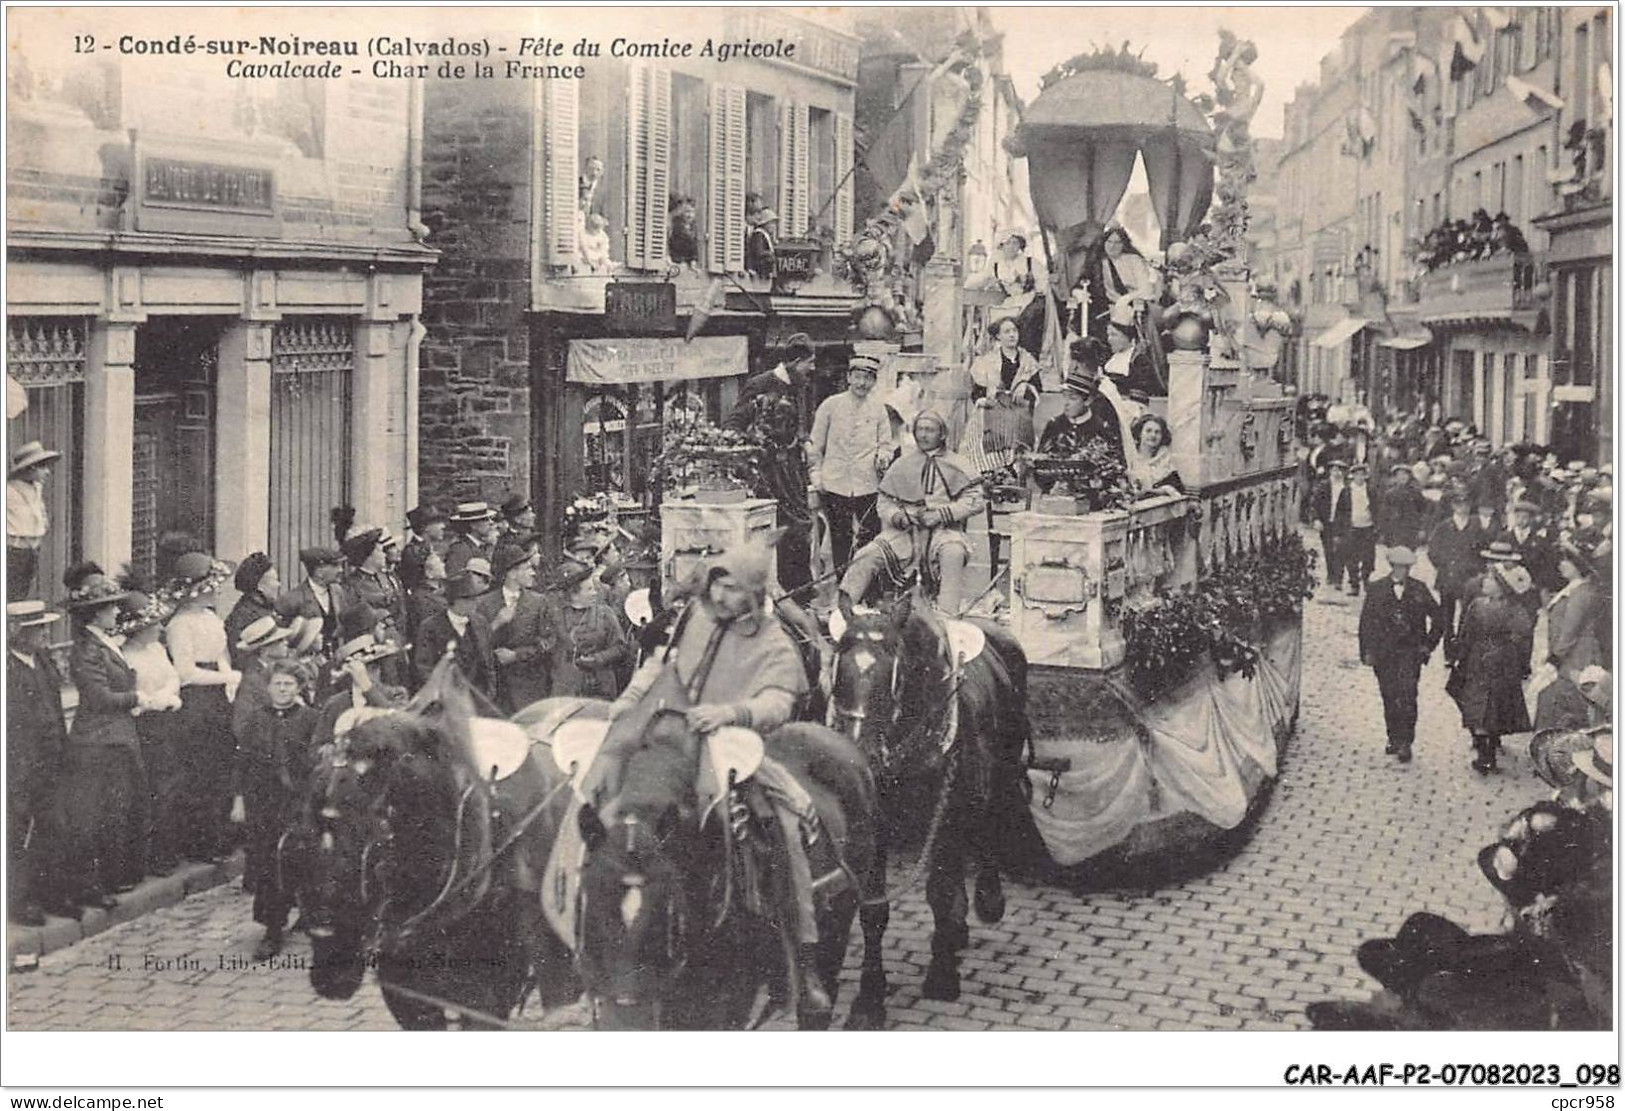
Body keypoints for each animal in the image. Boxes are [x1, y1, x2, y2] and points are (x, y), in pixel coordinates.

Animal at [832, 594, 1033, 1026]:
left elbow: (940, 894)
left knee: (989, 824)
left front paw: (941, 977)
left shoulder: (948, 815)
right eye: (839, 667)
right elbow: (874, 910)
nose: (860, 756)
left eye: (895, 675)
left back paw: (986, 901)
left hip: (998, 775)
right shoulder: (878, 828)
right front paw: (869, 998)